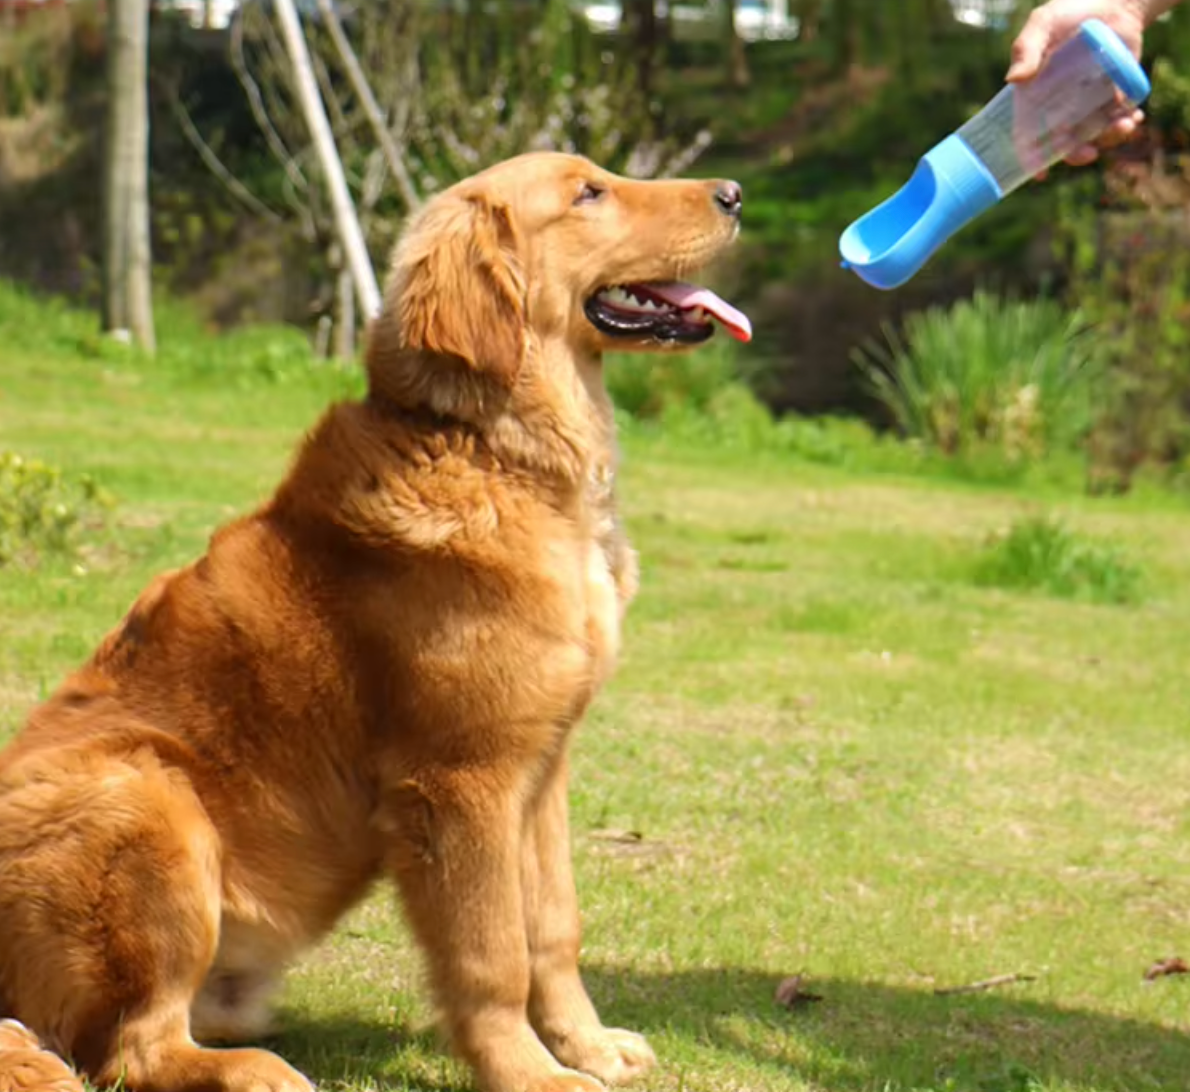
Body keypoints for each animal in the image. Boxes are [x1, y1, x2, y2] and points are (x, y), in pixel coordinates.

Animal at [0, 151, 747, 1092]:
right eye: (589, 192)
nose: (735, 195)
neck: (494, 450)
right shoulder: (459, 782)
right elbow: (493, 957)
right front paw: (532, 1073)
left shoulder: (541, 769)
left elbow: (553, 929)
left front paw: (587, 1046)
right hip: (145, 796)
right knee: (135, 1049)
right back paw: (256, 1070)